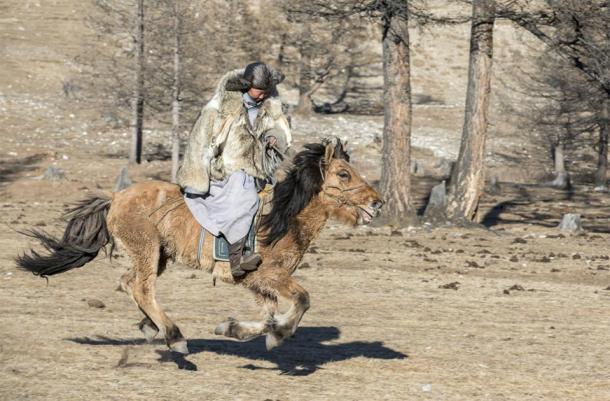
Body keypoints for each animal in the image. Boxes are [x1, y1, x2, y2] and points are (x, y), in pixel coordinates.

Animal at [16, 138, 382, 354]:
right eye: (344, 174)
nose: (377, 203)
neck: (282, 220)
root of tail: (115, 197)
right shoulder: (268, 277)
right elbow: (301, 300)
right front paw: (279, 334)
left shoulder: (257, 285)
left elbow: (266, 316)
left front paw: (234, 328)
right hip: (147, 250)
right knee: (141, 288)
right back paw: (174, 336)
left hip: (157, 256)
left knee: (128, 283)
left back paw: (152, 327)